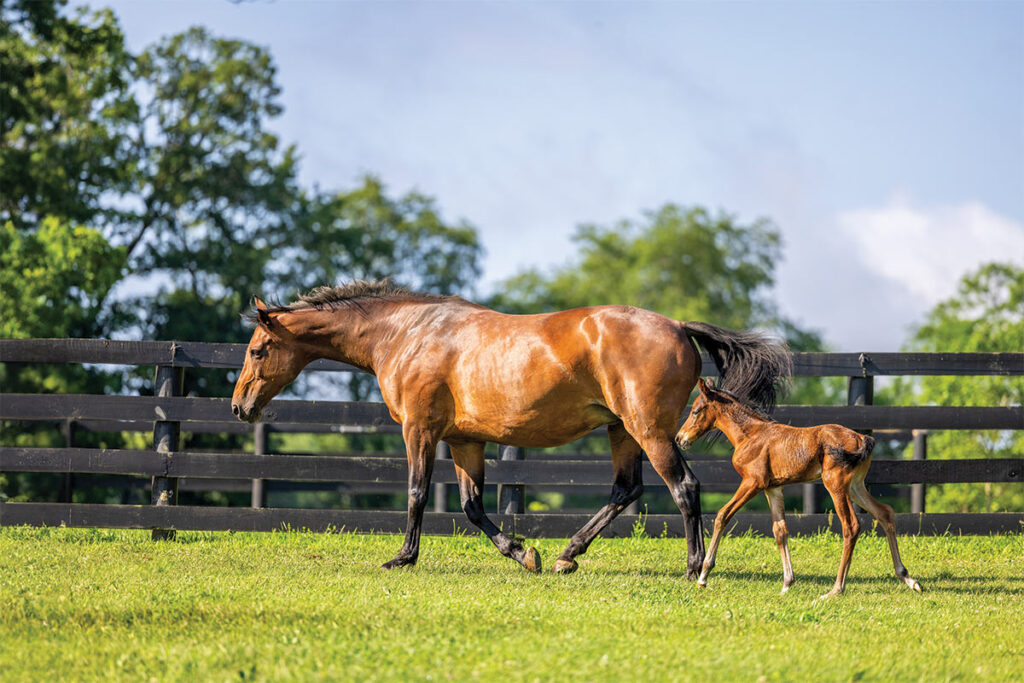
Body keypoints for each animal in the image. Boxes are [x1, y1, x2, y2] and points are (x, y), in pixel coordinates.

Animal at [231, 280, 791, 578]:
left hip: (649, 431)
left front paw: (403, 558)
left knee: (684, 487)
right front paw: (525, 555)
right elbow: (472, 506)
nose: (239, 407)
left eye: (258, 349)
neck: (406, 333)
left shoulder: (419, 430)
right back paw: (567, 556)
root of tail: (678, 326)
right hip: (622, 432)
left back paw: (694, 567)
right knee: (625, 490)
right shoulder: (464, 440)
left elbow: (416, 493)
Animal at [676, 378, 923, 598]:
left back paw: (836, 589)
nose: (679, 438)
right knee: (885, 512)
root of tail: (862, 438)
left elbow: (722, 515)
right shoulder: (773, 488)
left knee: (851, 526)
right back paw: (908, 579)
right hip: (855, 486)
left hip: (835, 484)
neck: (751, 435)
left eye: (696, 410)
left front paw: (703, 575)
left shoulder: (752, 482)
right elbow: (780, 530)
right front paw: (787, 583)